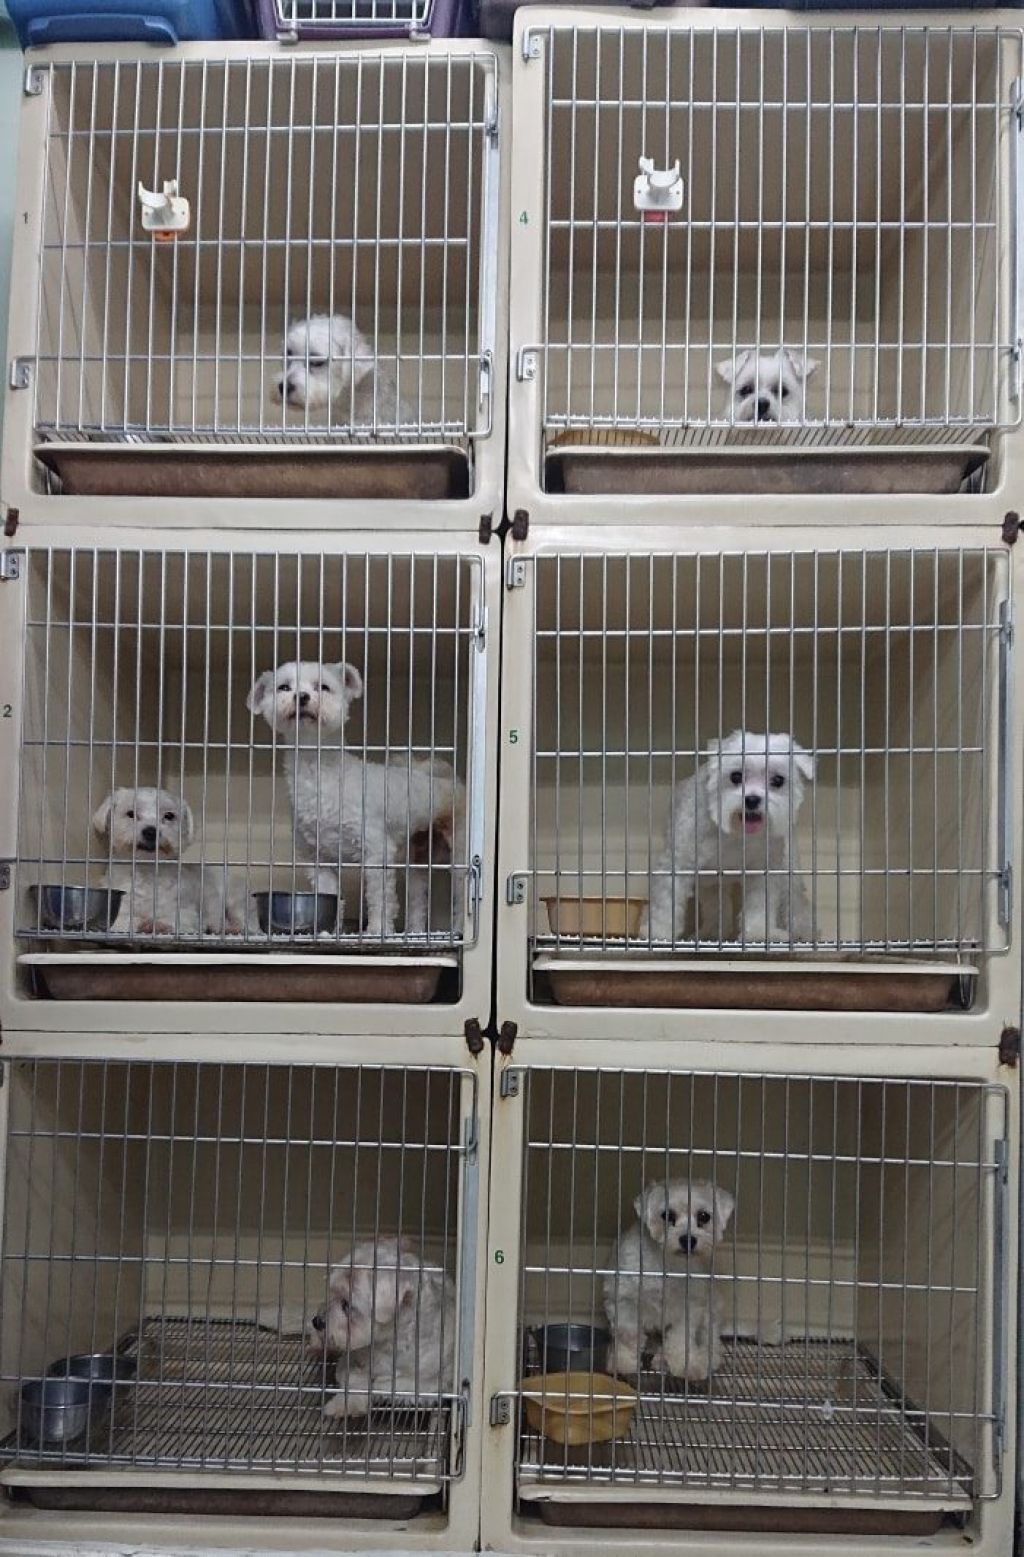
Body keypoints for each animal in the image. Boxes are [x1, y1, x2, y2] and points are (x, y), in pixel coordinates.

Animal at [92, 785, 250, 937]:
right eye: (130, 813)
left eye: (169, 816)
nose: (151, 831)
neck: (148, 870)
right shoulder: (119, 908)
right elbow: (125, 921)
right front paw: (144, 924)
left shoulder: (185, 912)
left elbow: (176, 920)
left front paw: (159, 925)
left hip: (235, 900)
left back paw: (231, 928)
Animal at [247, 660, 466, 938]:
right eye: (284, 687)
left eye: (323, 687)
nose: (302, 697)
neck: (321, 774)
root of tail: (448, 778)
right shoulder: (319, 860)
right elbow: (329, 895)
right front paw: (329, 931)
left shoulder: (377, 852)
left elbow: (380, 898)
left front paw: (377, 930)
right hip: (417, 859)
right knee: (417, 898)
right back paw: (415, 932)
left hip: (459, 853)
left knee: (461, 895)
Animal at [307, 1237, 456, 1420]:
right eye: (332, 1293)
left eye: (347, 1304)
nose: (317, 1322)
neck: (387, 1343)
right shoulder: (349, 1360)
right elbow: (353, 1377)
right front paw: (343, 1404)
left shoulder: (430, 1382)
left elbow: (389, 1385)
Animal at [604, 1178, 734, 1383]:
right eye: (667, 1215)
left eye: (703, 1216)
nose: (688, 1239)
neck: (668, 1264)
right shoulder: (623, 1299)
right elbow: (628, 1334)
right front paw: (622, 1363)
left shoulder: (689, 1307)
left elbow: (681, 1339)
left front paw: (685, 1366)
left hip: (711, 1309)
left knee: (710, 1341)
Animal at [643, 731, 814, 946]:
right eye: (736, 776)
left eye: (778, 780)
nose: (752, 800)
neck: (735, 832)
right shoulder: (678, 864)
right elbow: (666, 904)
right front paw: (659, 932)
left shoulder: (762, 872)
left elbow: (759, 906)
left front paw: (758, 933)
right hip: (710, 883)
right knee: (715, 909)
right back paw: (711, 933)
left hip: (788, 869)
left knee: (796, 902)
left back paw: (802, 932)